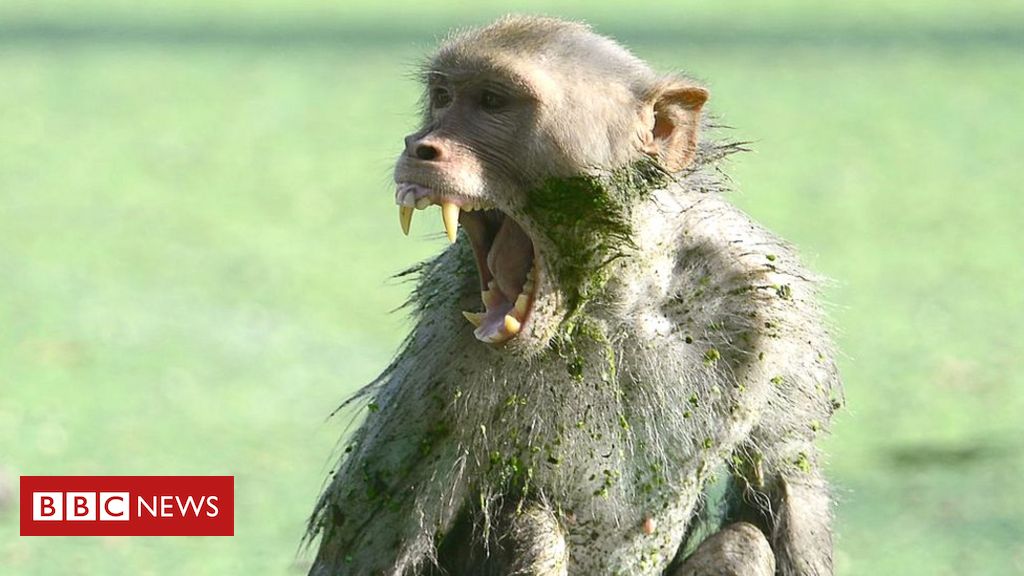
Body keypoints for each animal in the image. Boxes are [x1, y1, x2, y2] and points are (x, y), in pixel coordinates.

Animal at [307, 14, 843, 573]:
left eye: (493, 102)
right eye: (442, 96)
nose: (419, 145)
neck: (616, 299)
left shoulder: (772, 306)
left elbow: (785, 477)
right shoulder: (446, 342)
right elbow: (378, 537)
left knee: (745, 542)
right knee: (534, 529)